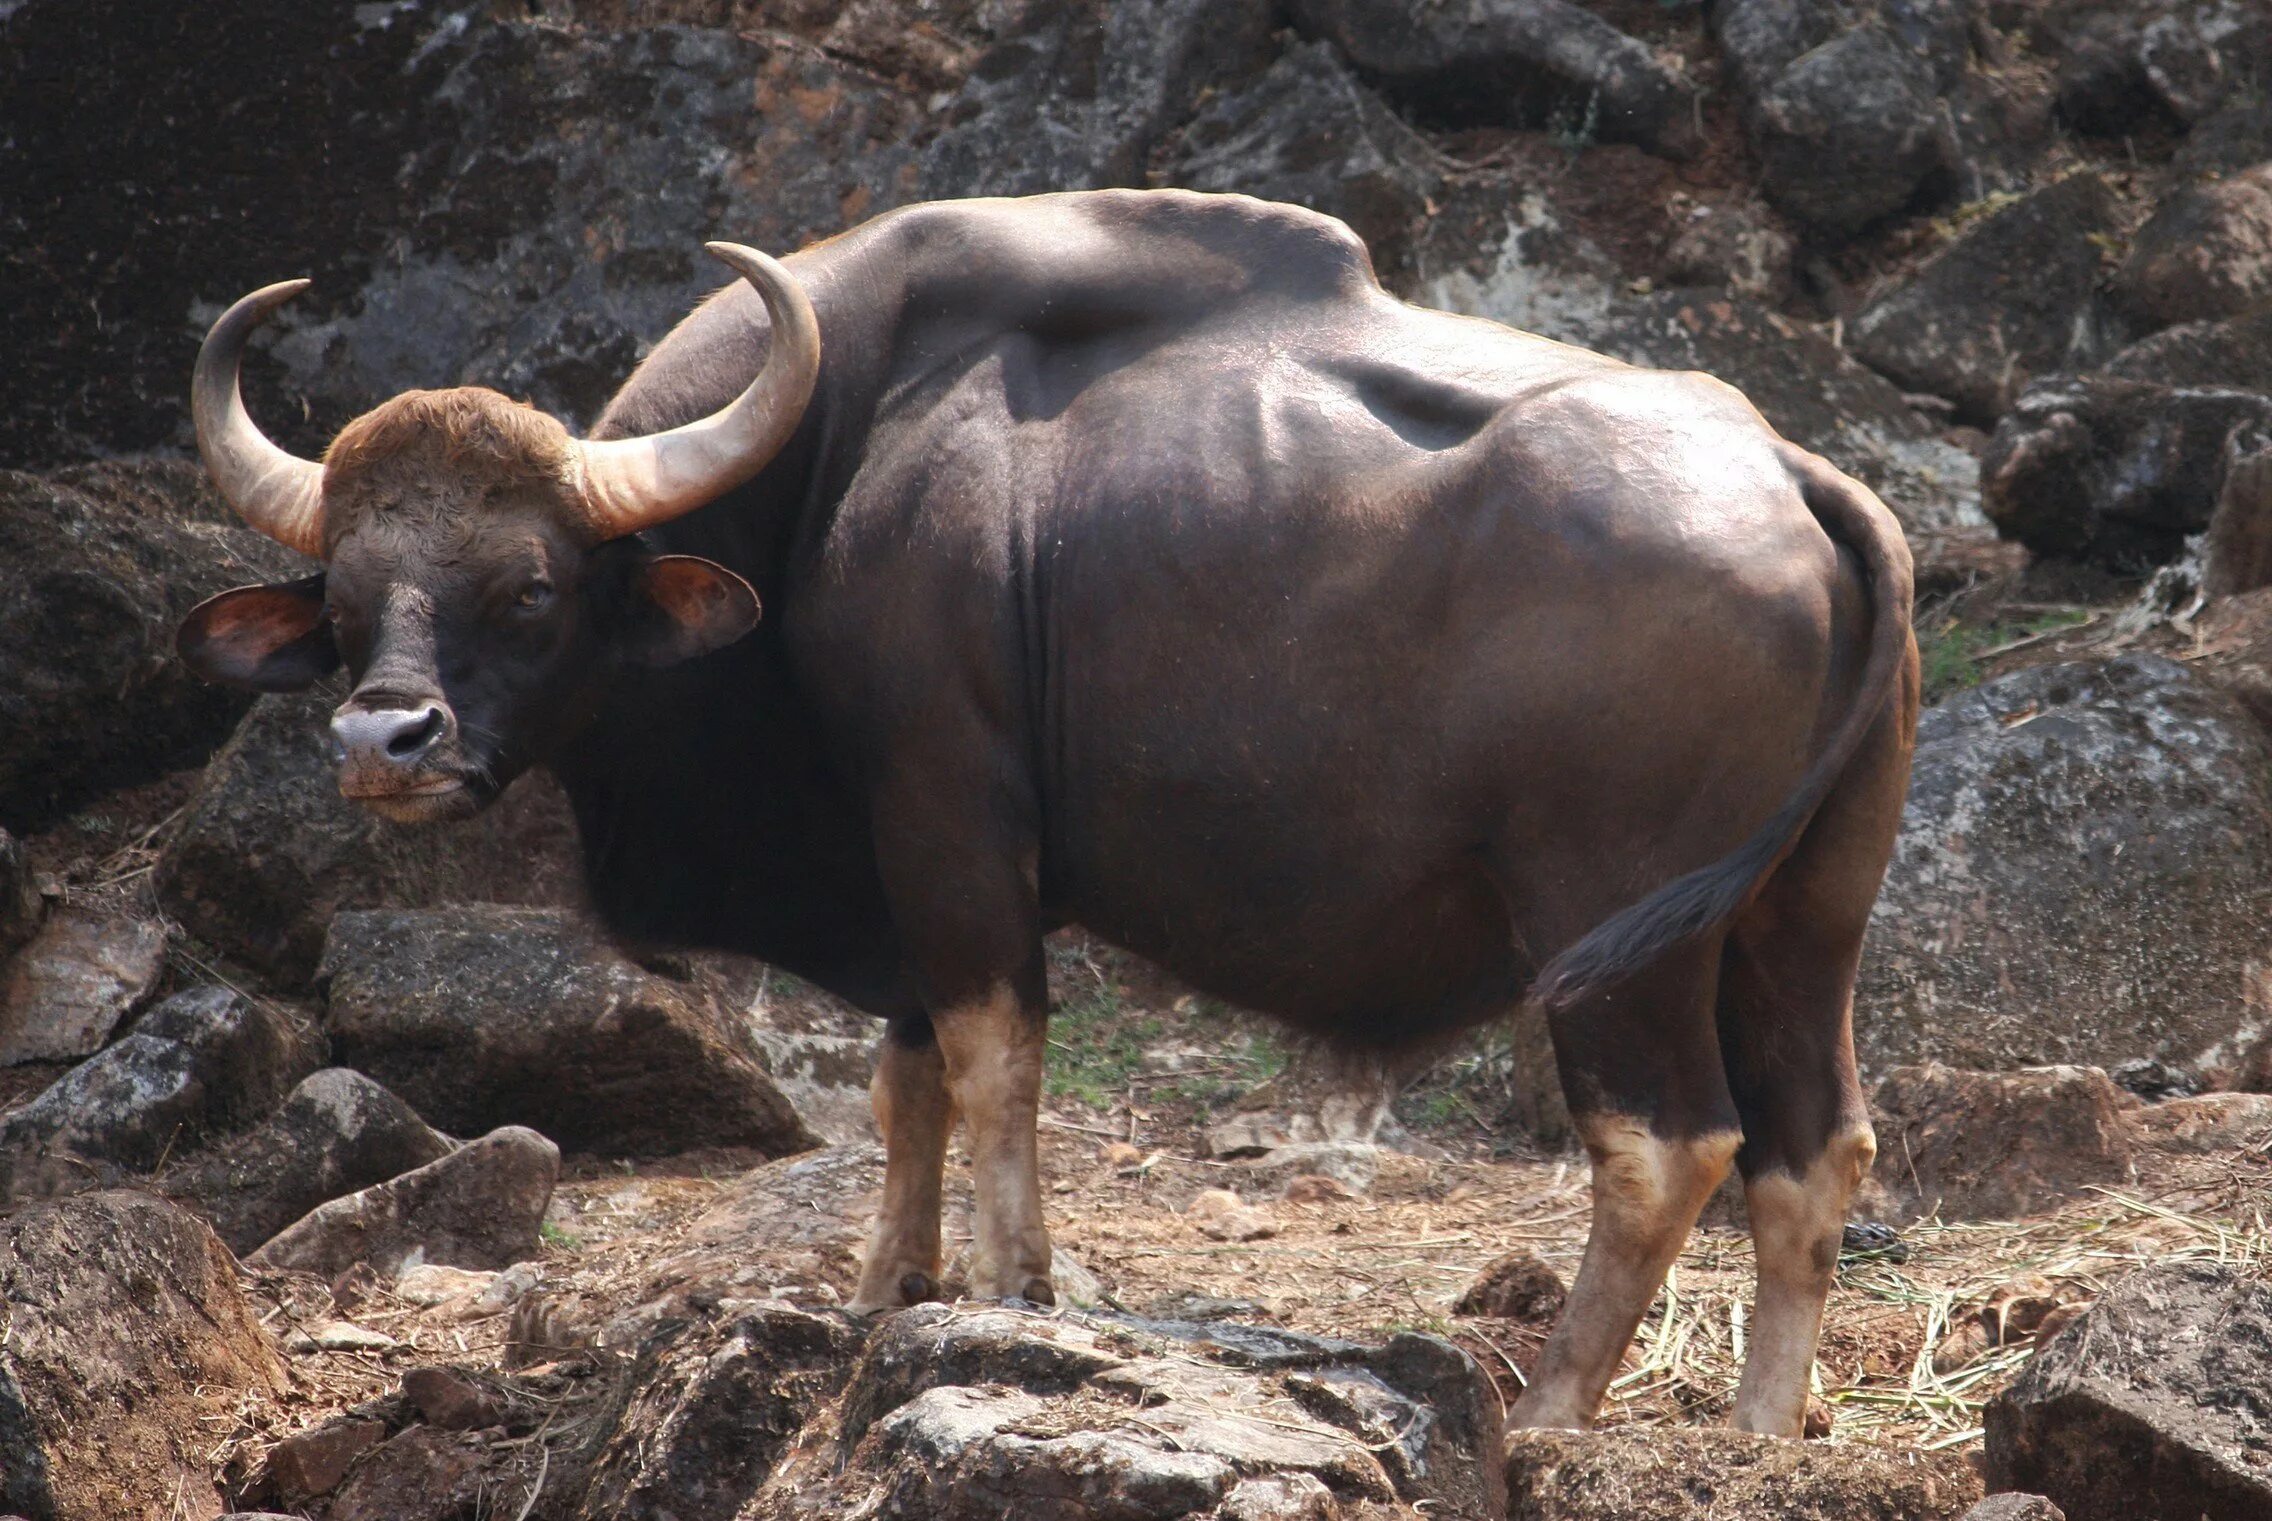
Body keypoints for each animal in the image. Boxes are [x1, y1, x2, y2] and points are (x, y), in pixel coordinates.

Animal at [172, 189, 1917, 1436]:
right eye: (345, 598)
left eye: (531, 589)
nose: (387, 737)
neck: (826, 480)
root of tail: (1794, 473)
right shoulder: (891, 872)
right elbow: (907, 1082)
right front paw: (886, 1284)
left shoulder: (952, 826)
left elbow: (994, 1055)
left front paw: (1013, 1287)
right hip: (1802, 916)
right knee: (1814, 1142)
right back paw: (1762, 1426)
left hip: (1613, 928)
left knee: (1667, 1143)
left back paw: (1551, 1411)